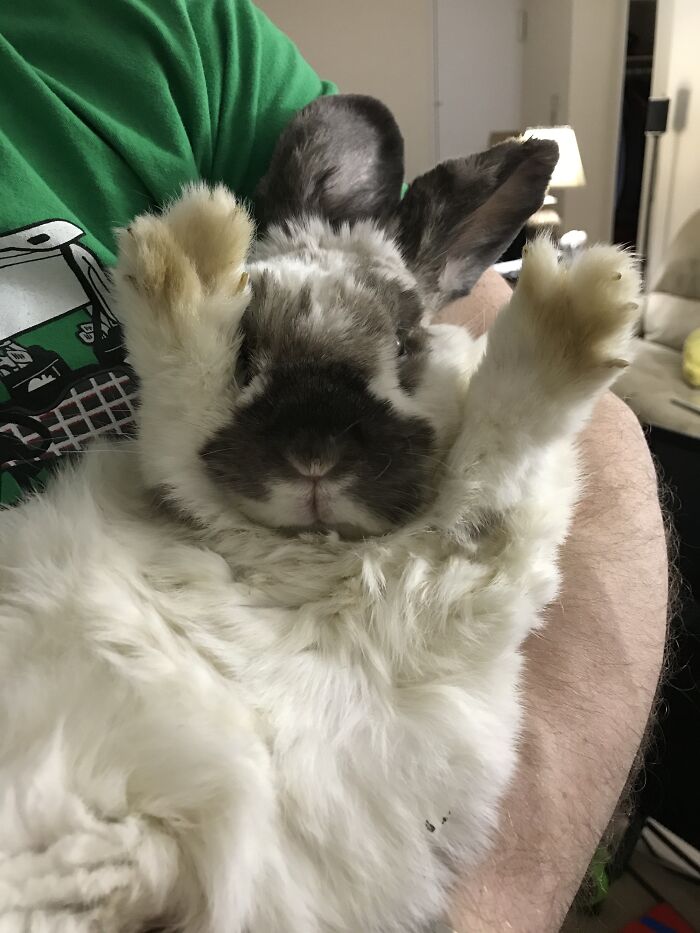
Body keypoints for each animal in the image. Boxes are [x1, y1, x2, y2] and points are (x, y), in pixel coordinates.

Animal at [0, 94, 640, 933]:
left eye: (405, 344)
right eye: (246, 351)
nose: (313, 453)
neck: (306, 553)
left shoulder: (467, 566)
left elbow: (501, 443)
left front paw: (585, 302)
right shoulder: (178, 459)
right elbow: (180, 396)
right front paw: (194, 251)